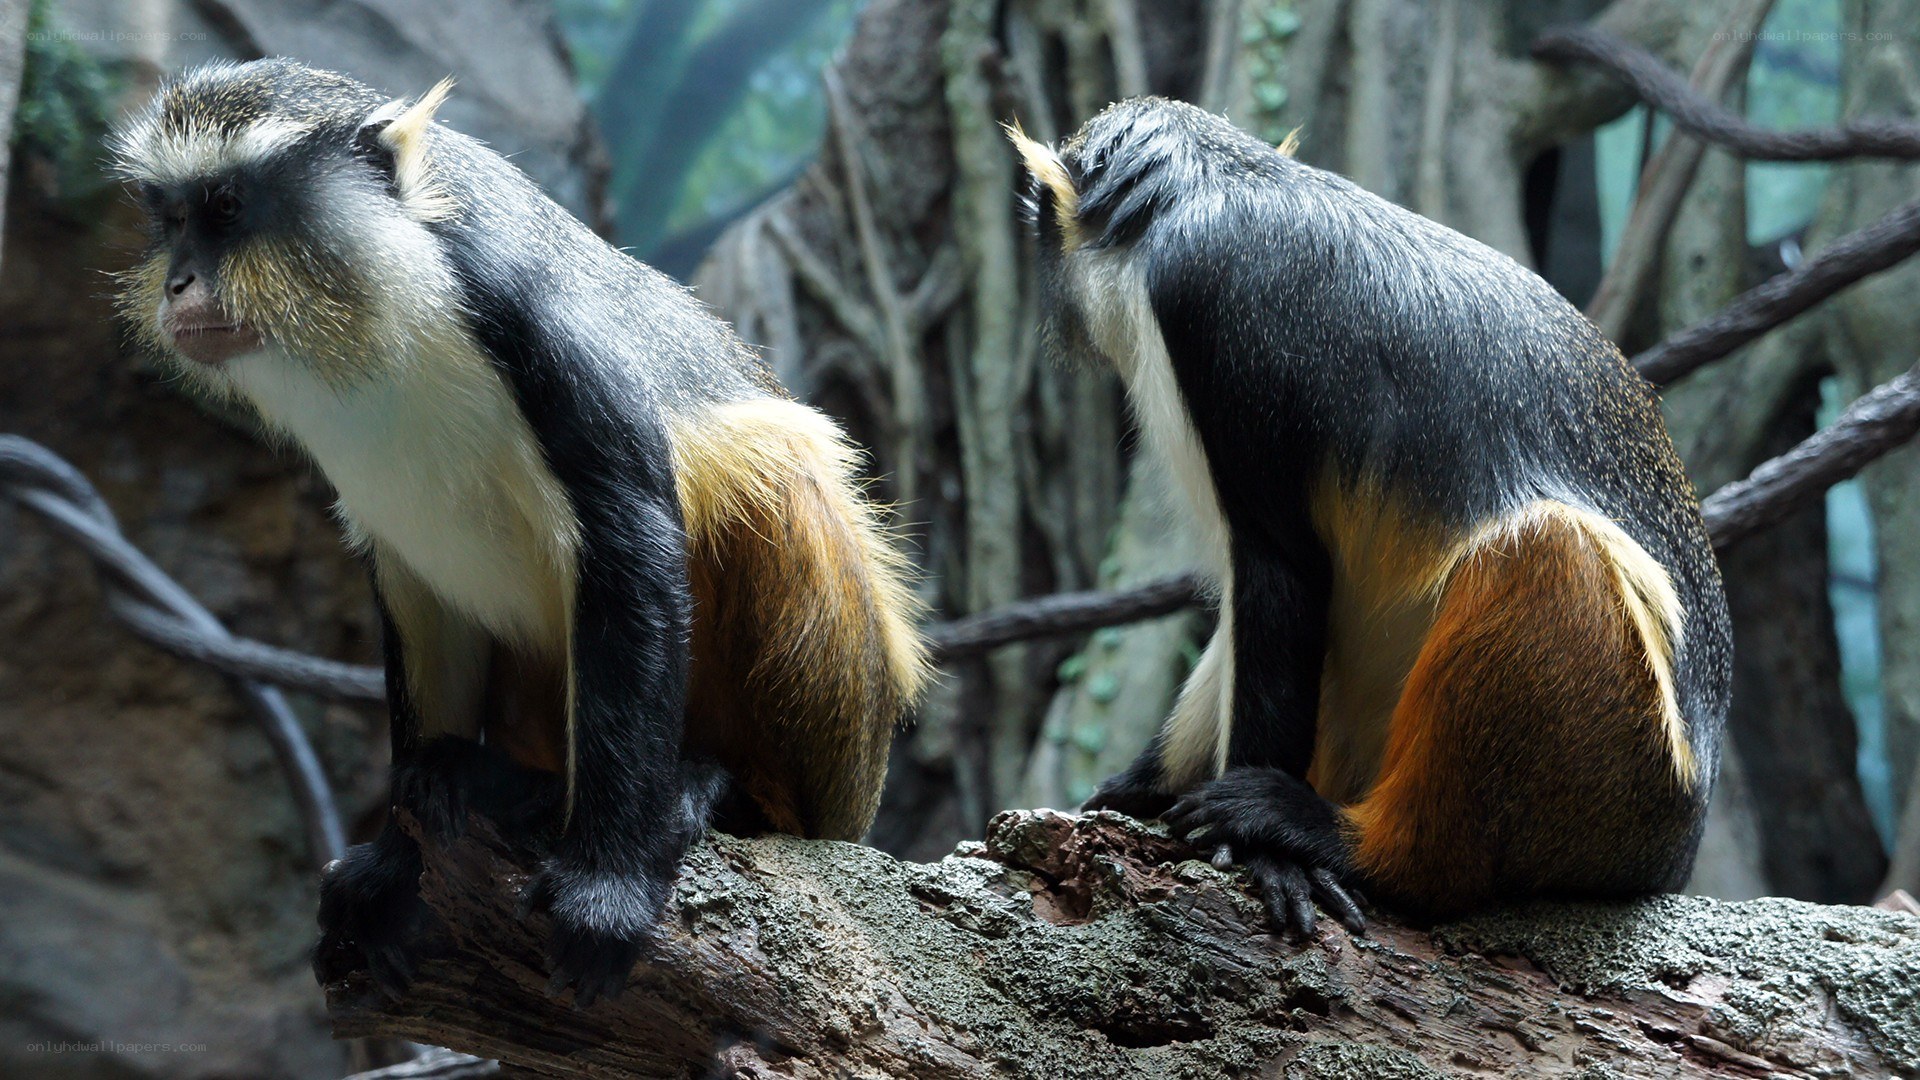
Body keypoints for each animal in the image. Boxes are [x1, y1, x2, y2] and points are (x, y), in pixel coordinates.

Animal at [112, 59, 929, 1004]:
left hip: (828, 752)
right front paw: (394, 860)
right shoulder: (398, 539)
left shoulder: (533, 323)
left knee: (781, 476)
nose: (178, 284)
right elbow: (420, 604)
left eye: (228, 206)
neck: (392, 296)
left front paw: (608, 887)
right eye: (172, 218)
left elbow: (630, 542)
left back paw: (717, 792)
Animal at [1009, 98, 1731, 936]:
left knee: (1551, 551)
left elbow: (1278, 567)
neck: (1206, 183)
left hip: (1625, 791)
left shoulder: (1206, 303)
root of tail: (1680, 847)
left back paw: (1354, 843)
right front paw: (1138, 789)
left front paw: (1261, 855)